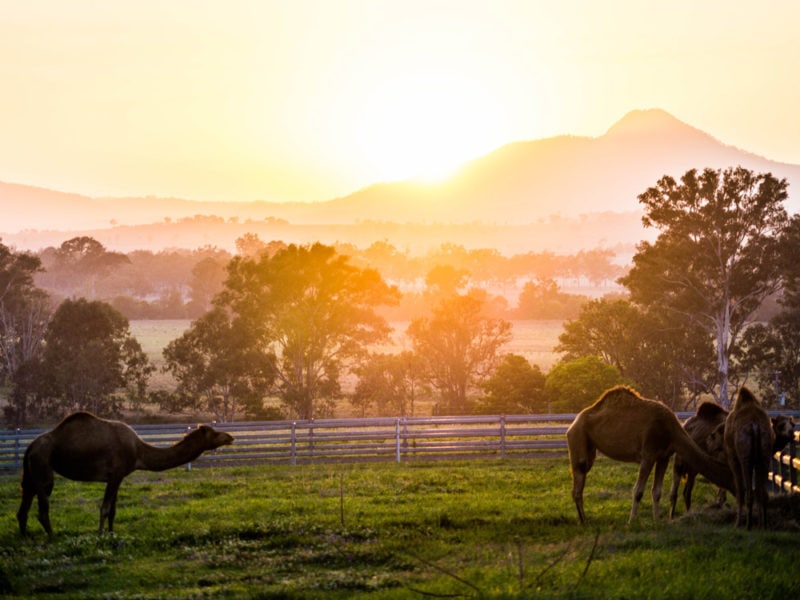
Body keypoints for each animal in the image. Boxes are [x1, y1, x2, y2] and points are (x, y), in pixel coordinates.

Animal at [17, 412, 233, 536]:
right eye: (215, 433)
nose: (230, 437)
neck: (138, 451)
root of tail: (30, 446)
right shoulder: (115, 474)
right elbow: (104, 508)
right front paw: (100, 536)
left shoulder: (119, 477)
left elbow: (113, 510)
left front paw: (112, 535)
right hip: (43, 467)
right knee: (43, 506)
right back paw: (52, 538)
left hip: (30, 473)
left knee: (23, 507)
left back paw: (25, 539)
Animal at [564, 386, 736, 524]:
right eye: (732, 480)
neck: (671, 430)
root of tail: (572, 424)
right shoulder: (648, 453)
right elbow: (638, 491)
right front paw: (632, 521)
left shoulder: (663, 456)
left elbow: (657, 491)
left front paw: (657, 520)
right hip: (578, 437)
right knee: (578, 479)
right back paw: (584, 521)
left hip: (589, 447)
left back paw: (584, 519)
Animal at [720, 386, 776, 528]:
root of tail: (755, 426)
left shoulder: (733, 457)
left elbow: (739, 489)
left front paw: (737, 523)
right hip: (765, 456)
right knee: (762, 493)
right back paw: (763, 525)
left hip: (745, 458)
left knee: (748, 492)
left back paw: (748, 525)